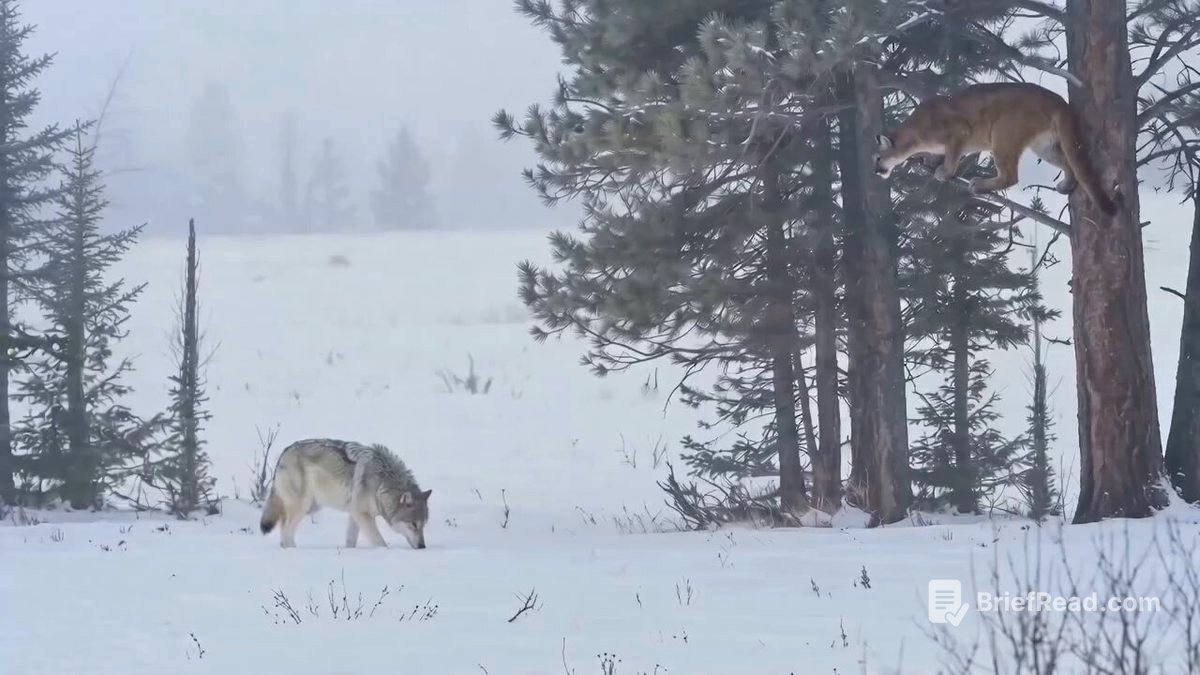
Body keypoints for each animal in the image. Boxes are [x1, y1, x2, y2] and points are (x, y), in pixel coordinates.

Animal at [259, 438, 431, 549]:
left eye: (423, 525)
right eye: (413, 524)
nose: (422, 546)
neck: (381, 484)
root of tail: (285, 450)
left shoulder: (355, 514)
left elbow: (350, 541)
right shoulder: (362, 514)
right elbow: (380, 542)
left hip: (311, 507)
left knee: (283, 528)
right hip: (303, 507)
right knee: (287, 532)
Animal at [873, 82, 1116, 215]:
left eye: (876, 158)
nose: (875, 171)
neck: (913, 134)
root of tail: (1056, 98)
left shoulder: (960, 131)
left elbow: (953, 155)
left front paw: (944, 172)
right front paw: (931, 161)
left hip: (1003, 133)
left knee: (1010, 176)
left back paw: (979, 184)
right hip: (1043, 145)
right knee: (1068, 163)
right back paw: (1066, 184)